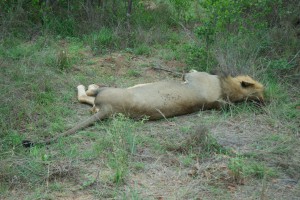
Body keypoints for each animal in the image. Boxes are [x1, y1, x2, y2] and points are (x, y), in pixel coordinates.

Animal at [22, 70, 264, 147]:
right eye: (260, 93)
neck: (228, 90)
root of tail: (108, 108)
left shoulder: (193, 75)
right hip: (102, 102)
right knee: (87, 100)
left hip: (108, 92)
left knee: (87, 94)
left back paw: (88, 85)